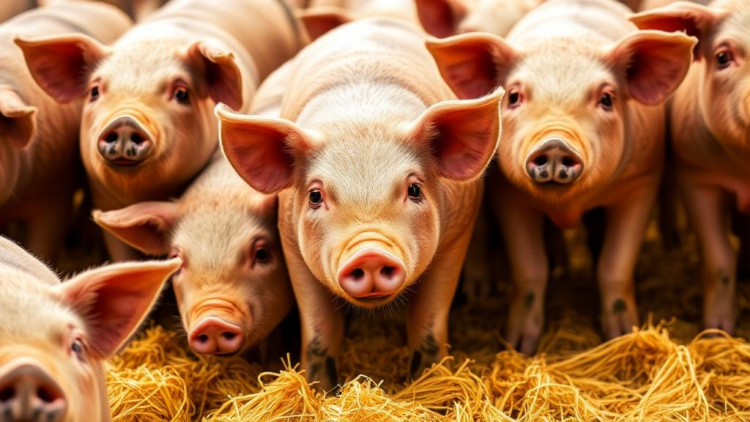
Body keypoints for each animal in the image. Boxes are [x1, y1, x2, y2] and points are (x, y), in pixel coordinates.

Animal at [217, 17, 503, 390]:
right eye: (315, 196)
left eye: (414, 189)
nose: (369, 253)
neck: (362, 118)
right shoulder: (292, 245)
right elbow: (319, 334)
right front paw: (321, 391)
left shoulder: (455, 237)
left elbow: (428, 325)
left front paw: (426, 386)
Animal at [426, 0, 695, 353]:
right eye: (514, 96)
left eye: (607, 98)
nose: (555, 144)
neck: (568, 206)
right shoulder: (508, 194)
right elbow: (531, 271)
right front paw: (518, 346)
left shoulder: (640, 183)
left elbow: (614, 266)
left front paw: (621, 335)